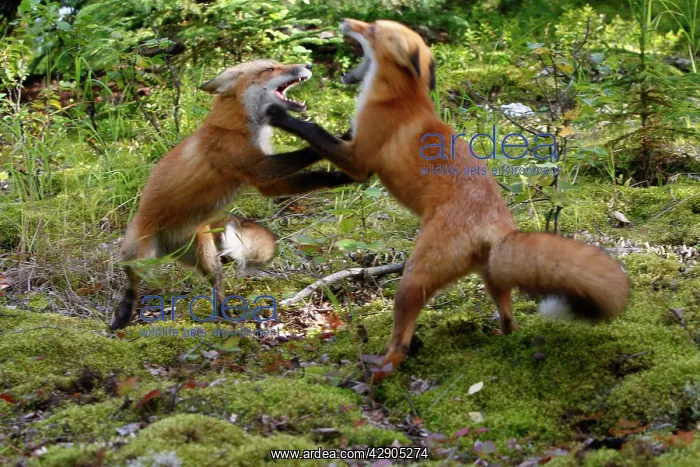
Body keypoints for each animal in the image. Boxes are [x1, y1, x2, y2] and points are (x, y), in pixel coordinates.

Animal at [110, 59, 354, 331]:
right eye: (270, 69)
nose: (308, 64)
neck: (241, 128)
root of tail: (166, 244)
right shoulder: (258, 168)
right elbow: (307, 152)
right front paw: (340, 138)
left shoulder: (266, 183)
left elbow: (314, 177)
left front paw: (343, 176)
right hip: (138, 254)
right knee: (132, 282)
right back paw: (123, 315)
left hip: (205, 256)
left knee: (216, 285)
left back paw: (224, 314)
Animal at [265, 19, 630, 381]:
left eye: (372, 28)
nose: (344, 22)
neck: (397, 97)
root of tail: (498, 226)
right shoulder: (354, 150)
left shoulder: (359, 162)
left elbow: (314, 131)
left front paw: (280, 116)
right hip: (491, 279)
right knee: (510, 320)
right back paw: (501, 339)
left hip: (412, 279)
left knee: (400, 341)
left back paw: (378, 372)